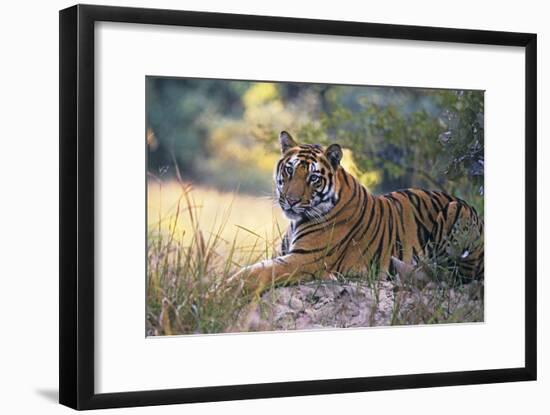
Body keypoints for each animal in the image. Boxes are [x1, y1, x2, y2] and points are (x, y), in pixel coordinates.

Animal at [231, 132, 486, 294]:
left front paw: (225, 290)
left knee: (453, 275)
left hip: (457, 213)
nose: (292, 201)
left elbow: (255, 273)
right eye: (289, 170)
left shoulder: (304, 259)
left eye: (313, 178)